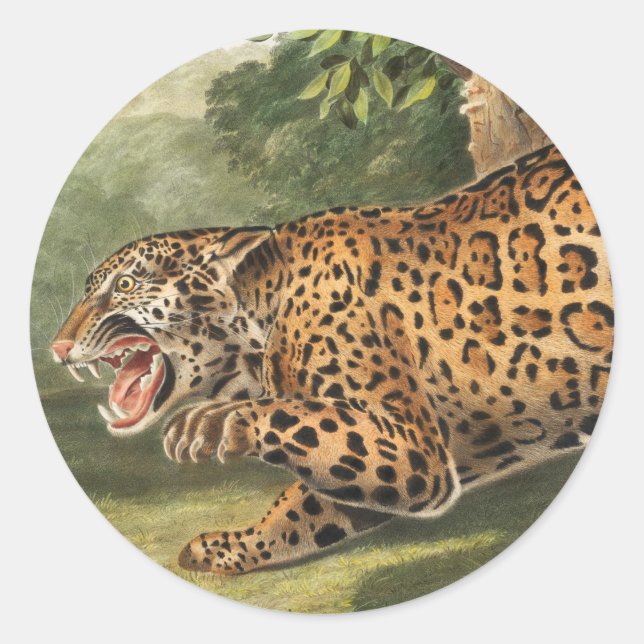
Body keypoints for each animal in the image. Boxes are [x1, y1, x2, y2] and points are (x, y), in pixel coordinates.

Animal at [51, 144, 613, 575]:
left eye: (125, 285)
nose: (57, 347)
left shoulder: (414, 447)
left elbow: (294, 425)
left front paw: (216, 423)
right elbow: (302, 504)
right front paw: (226, 549)